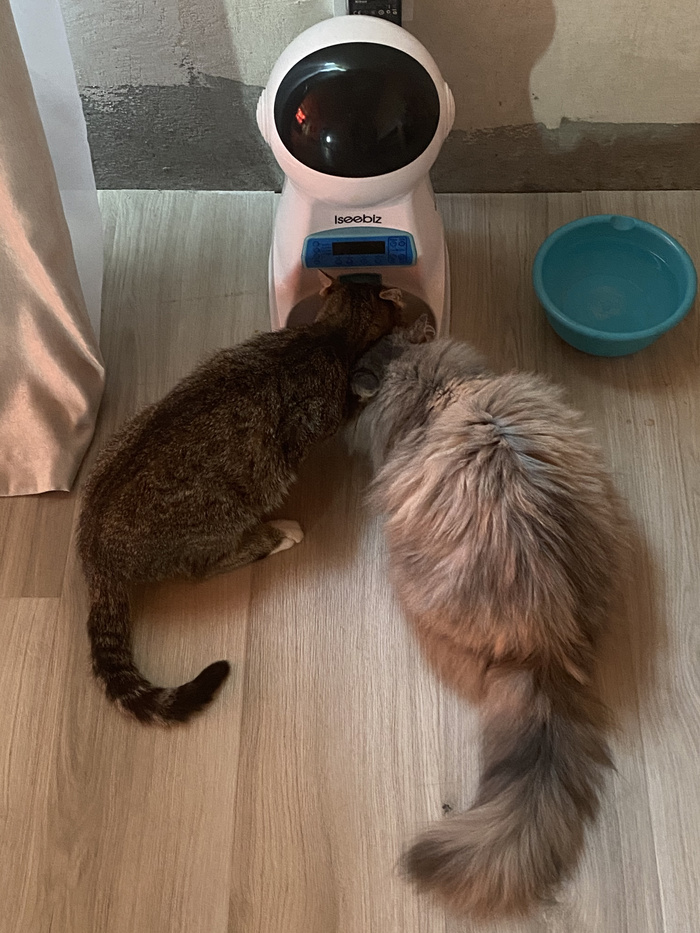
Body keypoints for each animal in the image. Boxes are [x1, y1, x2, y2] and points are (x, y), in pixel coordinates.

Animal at [78, 272, 403, 725]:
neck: (325, 336)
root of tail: (95, 558)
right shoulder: (322, 417)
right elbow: (350, 406)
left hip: (126, 432)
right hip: (226, 511)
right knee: (207, 566)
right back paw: (279, 533)